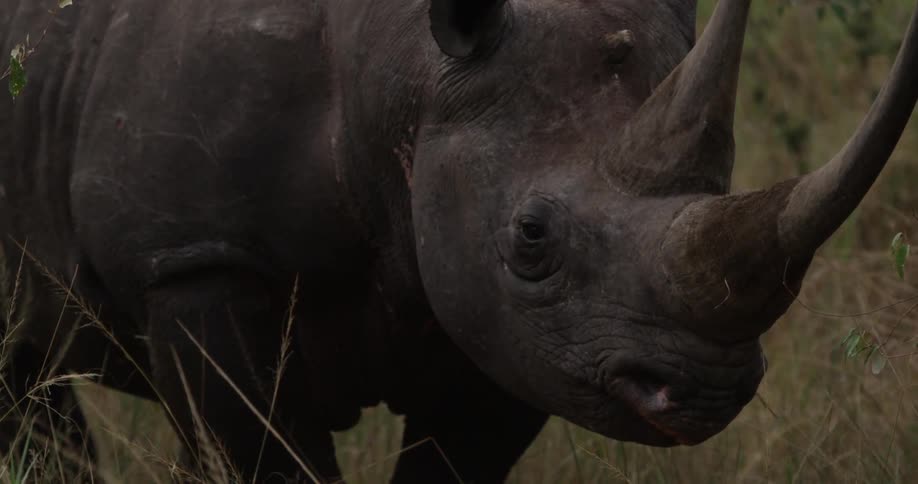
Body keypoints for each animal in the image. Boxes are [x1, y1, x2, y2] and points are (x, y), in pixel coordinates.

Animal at [1, 0, 916, 481]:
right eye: (532, 236)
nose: (702, 390)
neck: (405, 67)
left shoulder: (510, 324)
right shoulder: (196, 261)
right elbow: (268, 454)